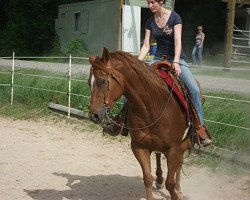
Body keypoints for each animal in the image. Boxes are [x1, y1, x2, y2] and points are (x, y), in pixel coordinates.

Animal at [89, 48, 190, 200]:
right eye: (88, 82)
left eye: (102, 81)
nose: (93, 115)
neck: (153, 107)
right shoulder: (139, 147)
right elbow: (147, 178)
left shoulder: (173, 148)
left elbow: (170, 183)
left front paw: (176, 192)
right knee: (159, 155)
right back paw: (159, 179)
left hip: (183, 143)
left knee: (180, 161)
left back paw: (179, 188)